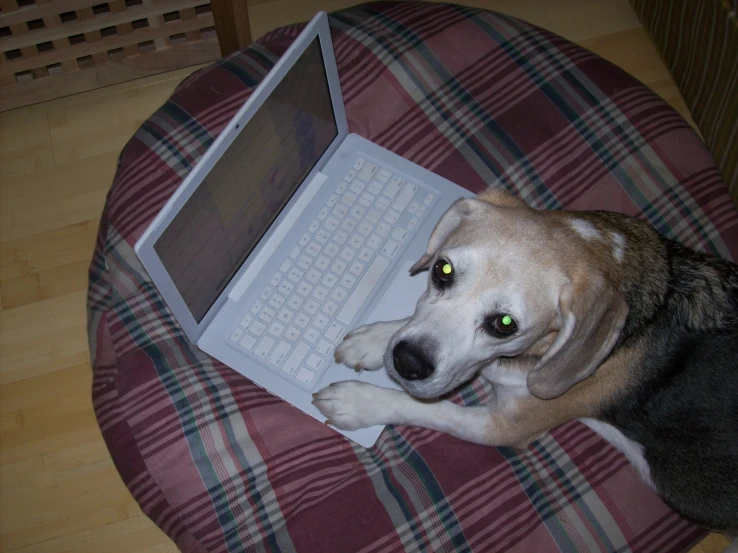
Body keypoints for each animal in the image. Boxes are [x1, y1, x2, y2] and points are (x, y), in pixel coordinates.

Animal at [310, 187, 736, 548]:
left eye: (504, 324)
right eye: (442, 270)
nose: (407, 362)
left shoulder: (503, 427)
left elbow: (427, 409)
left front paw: (358, 402)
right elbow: (408, 325)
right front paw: (373, 340)